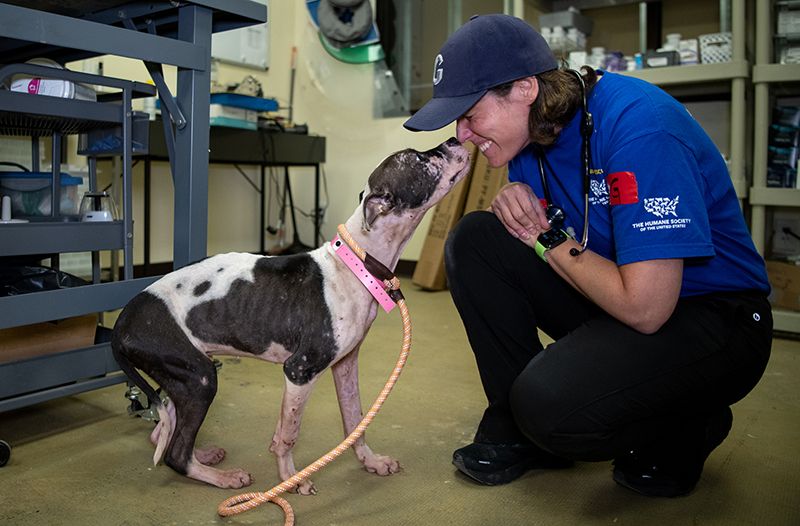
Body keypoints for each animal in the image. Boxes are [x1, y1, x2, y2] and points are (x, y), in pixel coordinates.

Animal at [110, 138, 472, 498]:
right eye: (419, 159)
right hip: (199, 378)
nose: (455, 139)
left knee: (164, 431)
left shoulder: (346, 364)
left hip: (184, 375)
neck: (356, 263)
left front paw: (370, 461)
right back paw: (224, 477)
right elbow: (288, 434)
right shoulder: (299, 371)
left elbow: (355, 420)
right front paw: (290, 479)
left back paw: (205, 456)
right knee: (175, 452)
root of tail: (122, 322)